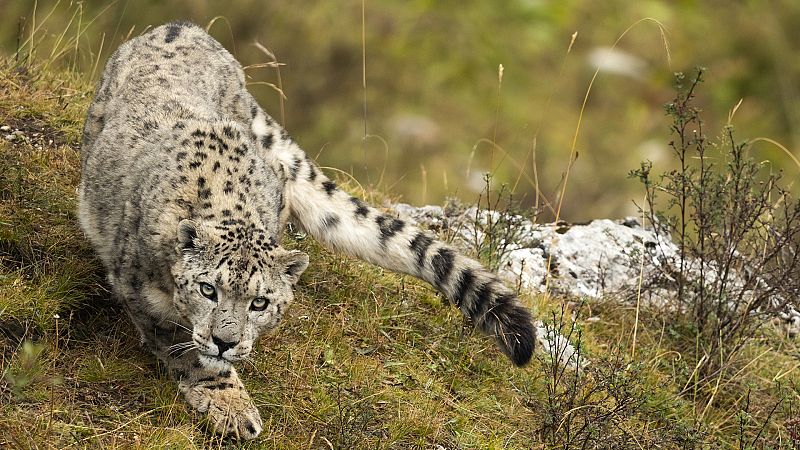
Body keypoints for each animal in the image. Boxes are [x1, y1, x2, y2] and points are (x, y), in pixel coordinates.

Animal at [78, 21, 536, 440]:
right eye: (208, 289)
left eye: (260, 302)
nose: (227, 341)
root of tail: (182, 26)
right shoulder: (140, 293)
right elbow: (186, 349)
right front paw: (232, 406)